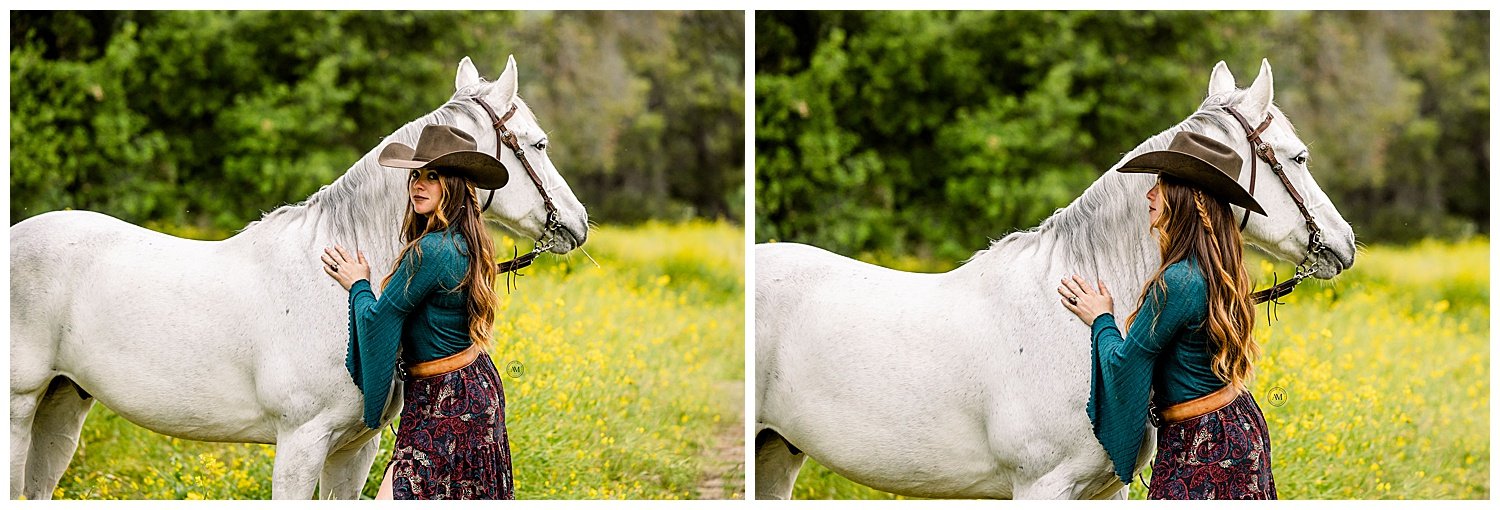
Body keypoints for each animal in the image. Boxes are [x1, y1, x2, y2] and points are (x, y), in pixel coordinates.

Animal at [11, 54, 588, 498]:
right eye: (539, 144)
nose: (578, 223)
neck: (336, 286)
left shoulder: (354, 450)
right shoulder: (301, 444)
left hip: (63, 403)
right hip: (20, 407)